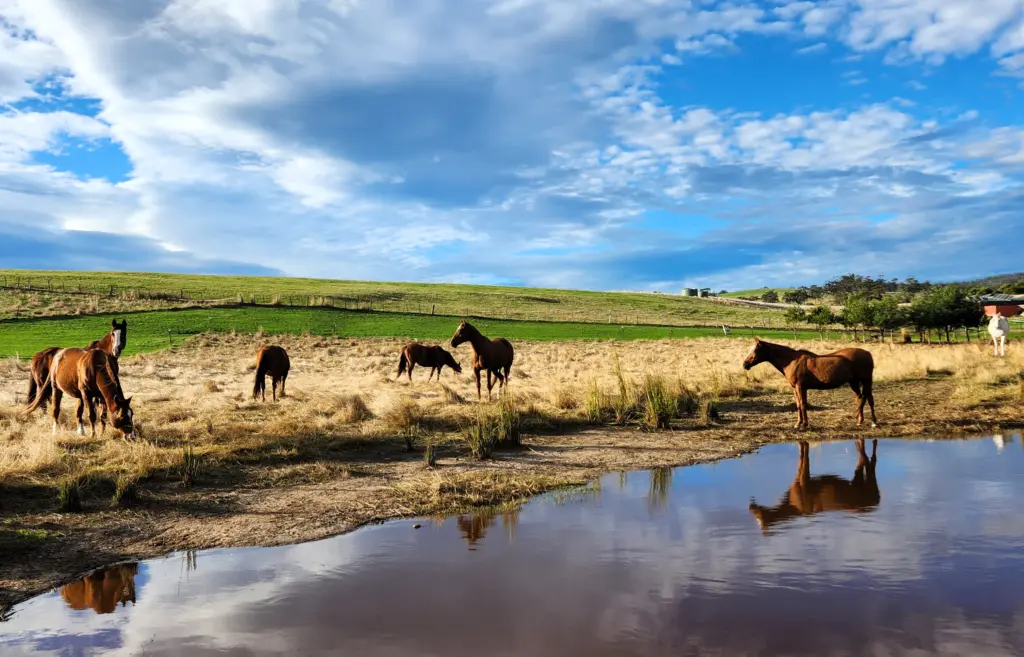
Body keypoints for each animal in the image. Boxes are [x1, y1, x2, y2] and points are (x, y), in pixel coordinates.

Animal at [742, 337, 878, 430]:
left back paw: (874, 422)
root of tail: (868, 353)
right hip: (853, 382)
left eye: (756, 349)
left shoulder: (800, 387)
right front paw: (798, 423)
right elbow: (798, 404)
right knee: (860, 398)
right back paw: (860, 420)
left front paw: (804, 424)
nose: (745, 364)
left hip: (866, 380)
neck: (792, 360)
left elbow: (803, 404)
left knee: (869, 399)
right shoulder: (796, 388)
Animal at [748, 439, 879, 535]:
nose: (751, 506)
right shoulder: (799, 479)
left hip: (868, 481)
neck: (793, 502)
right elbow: (802, 459)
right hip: (858, 481)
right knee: (865, 461)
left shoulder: (805, 481)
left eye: (759, 519)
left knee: (870, 462)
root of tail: (877, 501)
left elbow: (805, 459)